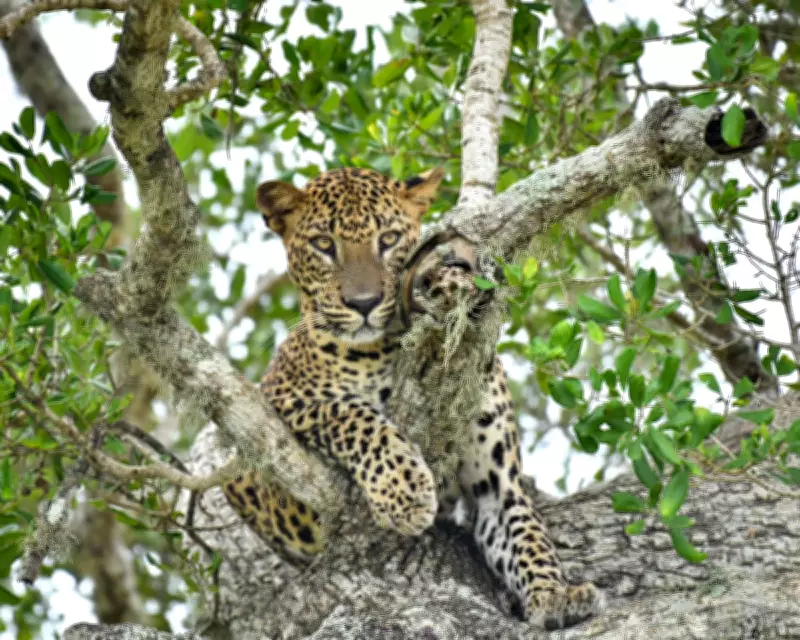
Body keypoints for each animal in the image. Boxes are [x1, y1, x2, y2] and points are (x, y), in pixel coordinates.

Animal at [222, 166, 604, 629]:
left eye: (387, 239)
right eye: (323, 245)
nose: (364, 303)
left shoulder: (497, 487)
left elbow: (527, 535)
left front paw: (555, 594)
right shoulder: (284, 397)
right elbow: (353, 416)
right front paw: (404, 492)